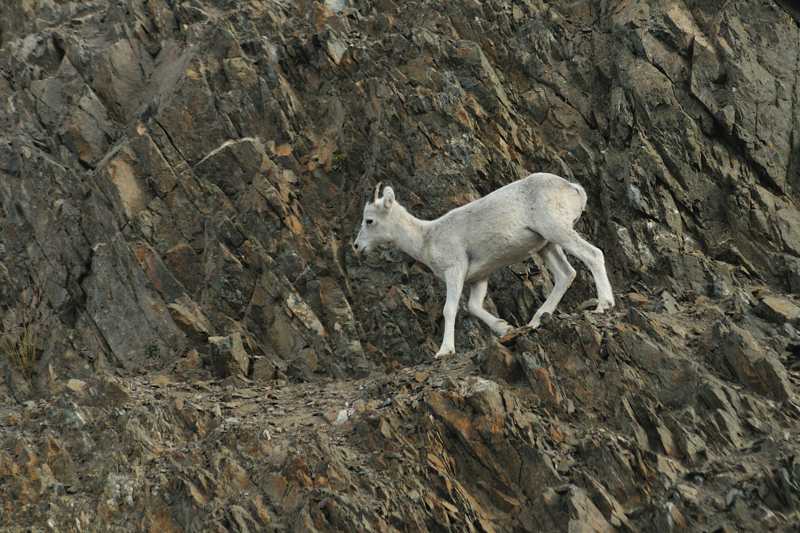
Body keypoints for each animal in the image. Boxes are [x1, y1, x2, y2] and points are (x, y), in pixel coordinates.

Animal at [353, 173, 615, 358]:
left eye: (369, 220)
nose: (356, 247)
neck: (427, 237)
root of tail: (573, 189)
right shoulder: (478, 279)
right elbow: (473, 307)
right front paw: (504, 329)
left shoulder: (455, 271)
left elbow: (450, 309)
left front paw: (444, 351)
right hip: (546, 245)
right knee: (565, 274)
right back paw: (536, 320)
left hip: (556, 230)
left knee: (593, 255)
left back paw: (603, 305)